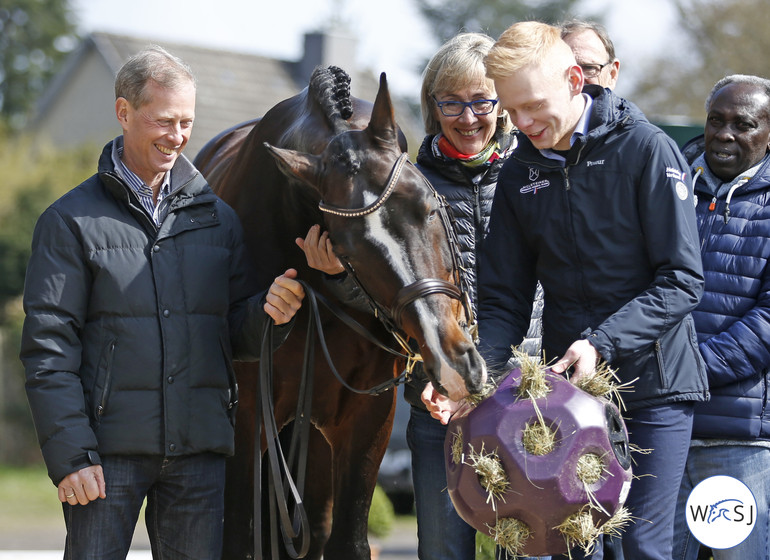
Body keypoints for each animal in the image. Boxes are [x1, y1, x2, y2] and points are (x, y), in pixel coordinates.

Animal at [195, 66, 484, 560]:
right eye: (345, 249)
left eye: (429, 207)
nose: (452, 362)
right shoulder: (246, 416)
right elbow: (238, 538)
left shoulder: (369, 417)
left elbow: (347, 540)